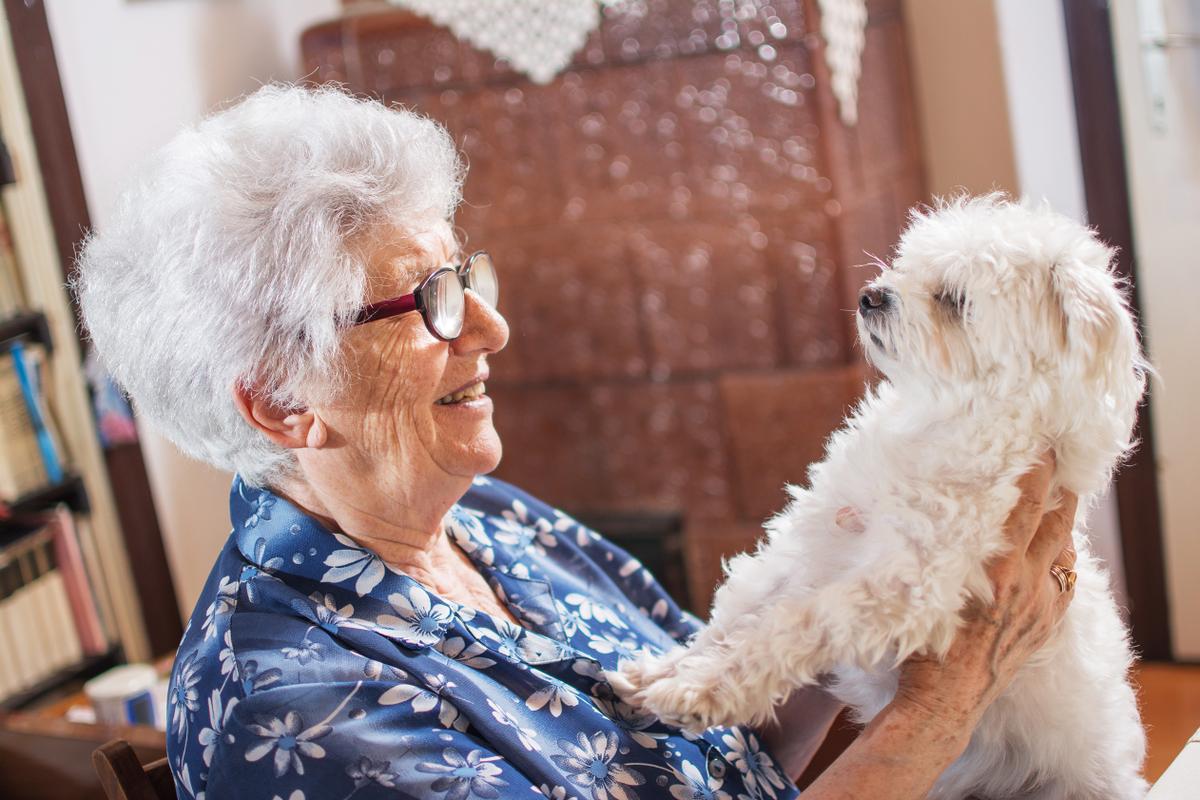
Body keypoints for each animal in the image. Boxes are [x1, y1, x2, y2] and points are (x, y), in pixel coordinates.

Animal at [614, 195, 1147, 800]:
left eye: (954, 299)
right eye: (907, 264)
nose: (871, 295)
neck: (939, 419)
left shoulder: (903, 586)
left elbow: (791, 624)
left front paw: (701, 691)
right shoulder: (811, 543)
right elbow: (737, 616)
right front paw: (665, 670)